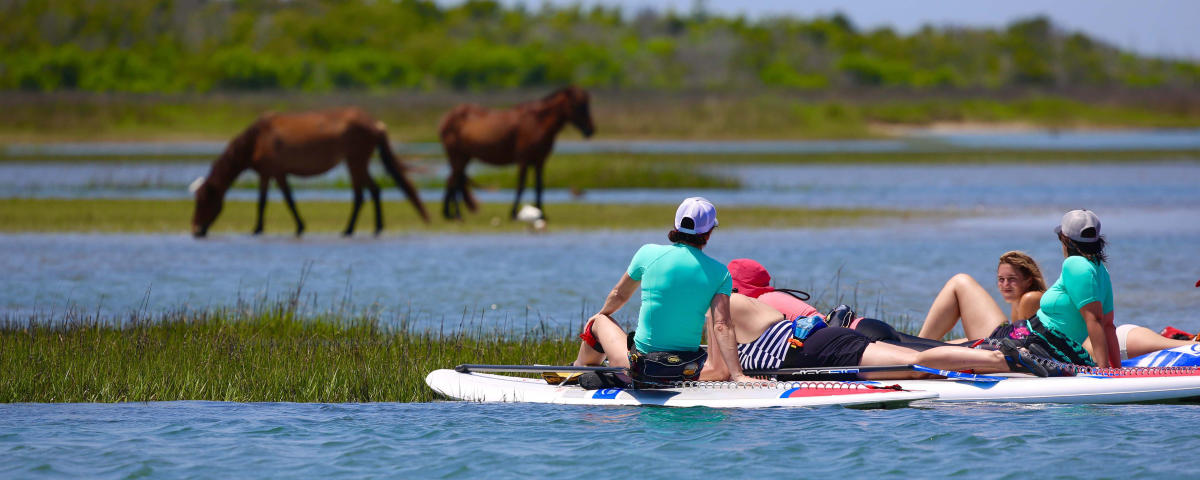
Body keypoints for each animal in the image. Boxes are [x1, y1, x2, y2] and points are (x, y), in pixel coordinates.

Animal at [190, 107, 429, 238]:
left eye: (203, 201)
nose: (195, 230)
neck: (255, 140)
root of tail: (376, 123)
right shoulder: (270, 174)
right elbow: (272, 200)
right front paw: (264, 227)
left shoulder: (274, 172)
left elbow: (278, 201)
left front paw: (265, 229)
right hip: (357, 162)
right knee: (374, 190)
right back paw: (375, 227)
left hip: (355, 161)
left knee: (361, 194)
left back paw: (349, 229)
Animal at [438, 85, 595, 220]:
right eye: (578, 105)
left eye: (587, 104)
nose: (590, 130)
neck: (538, 122)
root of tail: (446, 118)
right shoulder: (523, 160)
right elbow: (521, 185)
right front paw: (513, 213)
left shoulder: (540, 160)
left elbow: (539, 186)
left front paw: (541, 213)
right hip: (457, 156)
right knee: (454, 181)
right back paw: (457, 214)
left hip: (464, 157)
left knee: (452, 180)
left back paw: (449, 213)